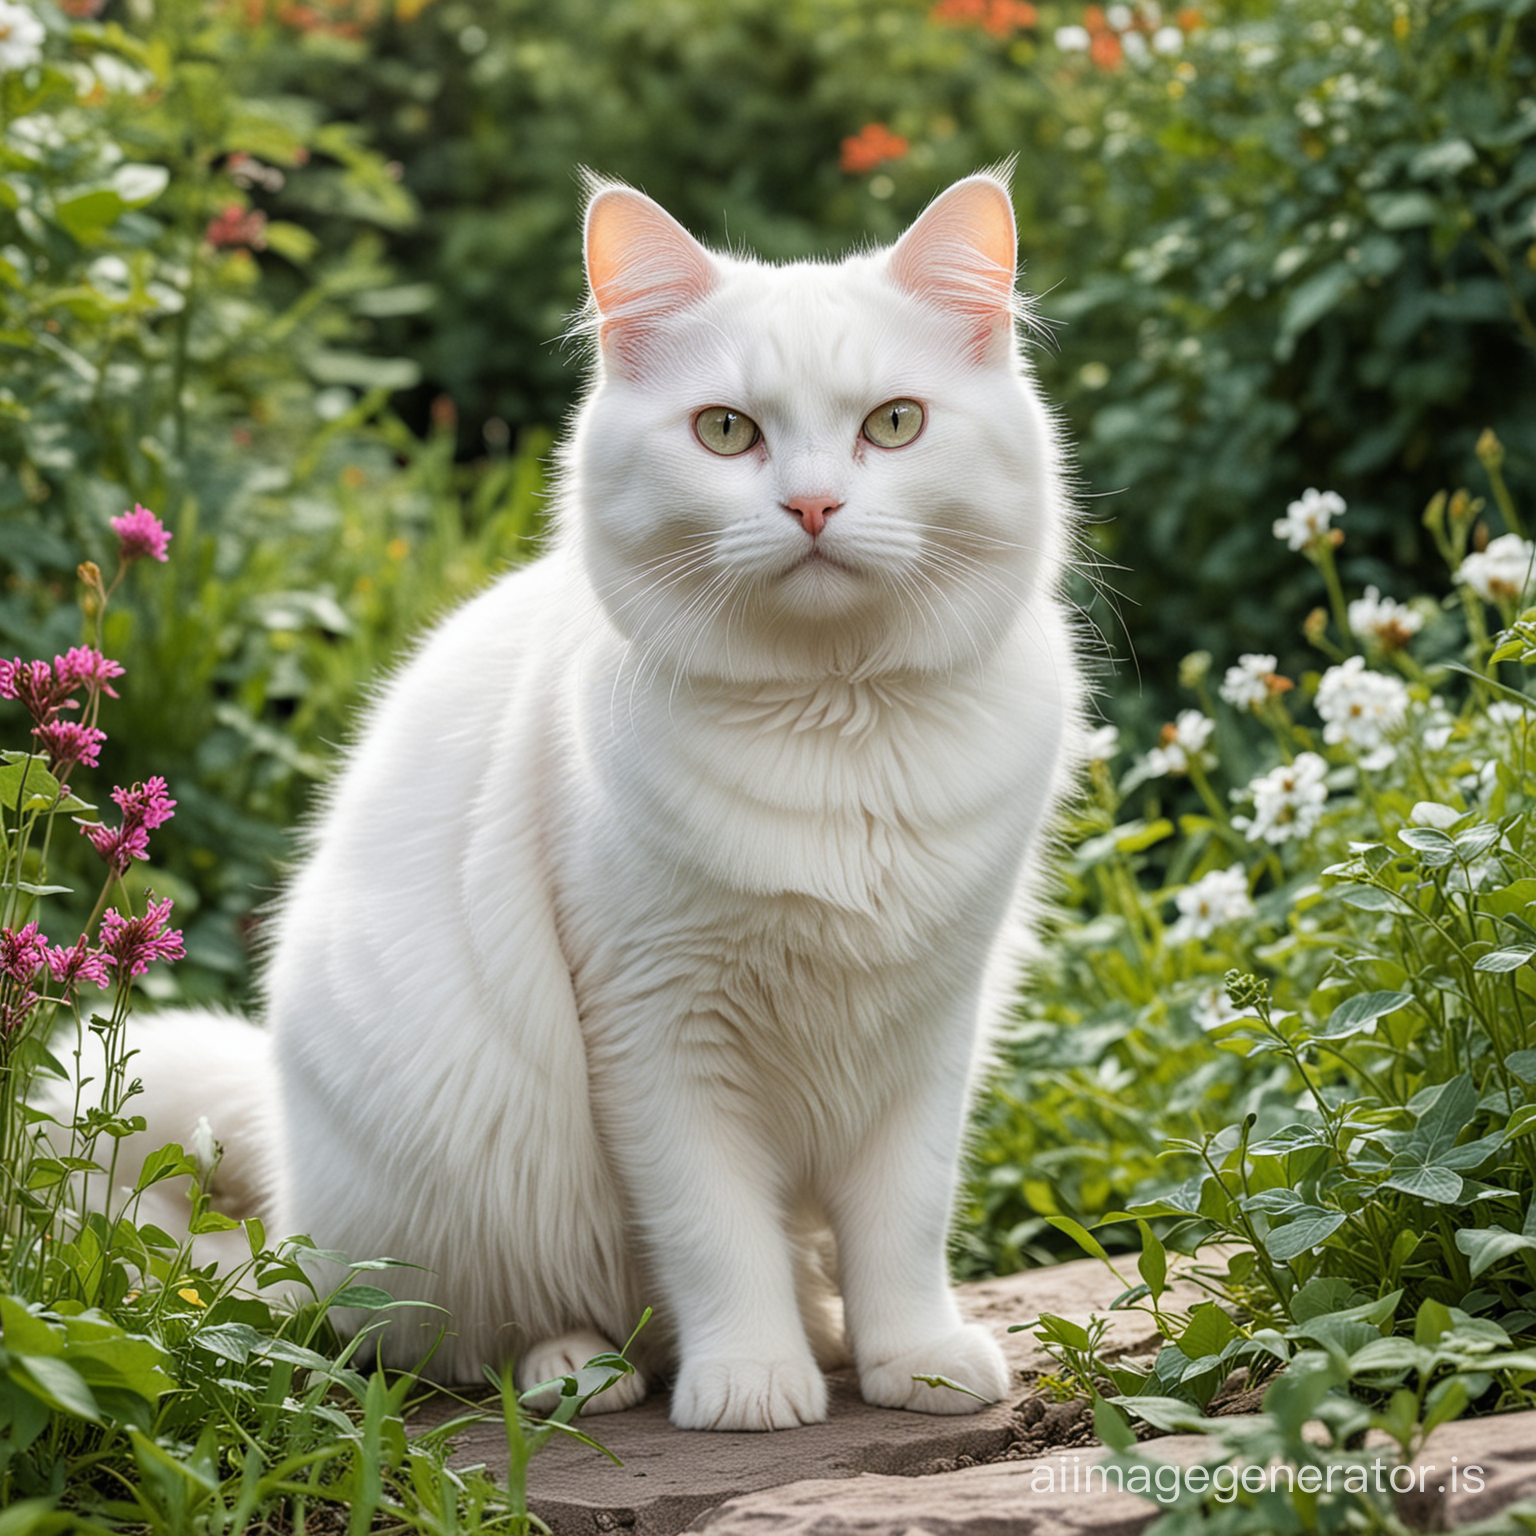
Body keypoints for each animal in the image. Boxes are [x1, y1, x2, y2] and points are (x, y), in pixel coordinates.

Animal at [125, 174, 1081, 1431]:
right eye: (726, 431)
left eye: (894, 425)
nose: (815, 506)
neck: (834, 725)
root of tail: (287, 1185)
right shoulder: (658, 1032)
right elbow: (716, 1237)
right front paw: (751, 1383)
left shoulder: (927, 1033)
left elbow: (904, 1227)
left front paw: (912, 1363)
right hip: (461, 1196)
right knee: (478, 1337)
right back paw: (586, 1373)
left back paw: (821, 1335)